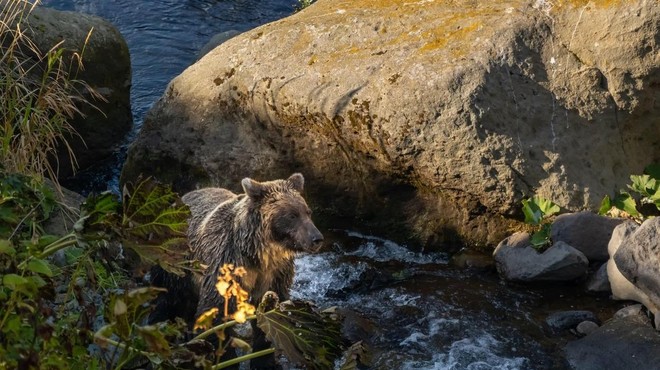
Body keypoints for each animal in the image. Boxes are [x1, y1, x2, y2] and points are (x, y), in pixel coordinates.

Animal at [150, 173, 324, 368]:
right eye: (292, 215)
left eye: (308, 212)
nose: (316, 238)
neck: (259, 253)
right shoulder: (226, 262)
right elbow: (216, 311)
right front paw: (226, 359)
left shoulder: (275, 273)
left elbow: (270, 314)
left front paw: (264, 360)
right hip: (174, 260)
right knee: (167, 297)